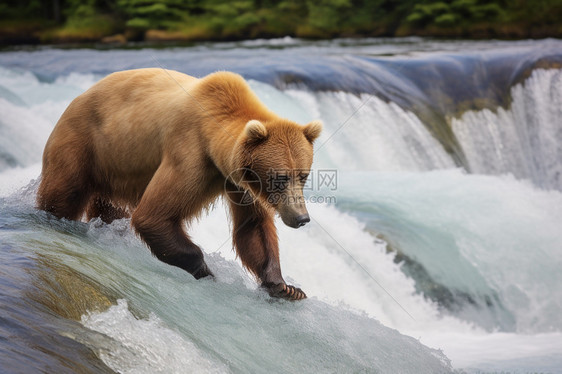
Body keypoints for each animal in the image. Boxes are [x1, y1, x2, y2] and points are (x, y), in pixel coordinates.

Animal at [37, 67, 322, 300]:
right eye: (280, 177)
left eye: (303, 175)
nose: (301, 218)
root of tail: (78, 97)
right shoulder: (189, 155)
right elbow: (154, 216)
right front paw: (207, 271)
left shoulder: (240, 182)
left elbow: (253, 227)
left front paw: (286, 287)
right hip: (83, 144)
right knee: (64, 193)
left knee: (109, 208)